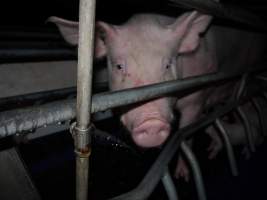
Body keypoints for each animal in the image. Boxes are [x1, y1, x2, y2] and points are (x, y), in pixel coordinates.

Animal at [49, 9, 266, 178]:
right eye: (119, 66)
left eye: (168, 64)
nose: (151, 122)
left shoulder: (196, 100)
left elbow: (185, 134)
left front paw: (182, 176)